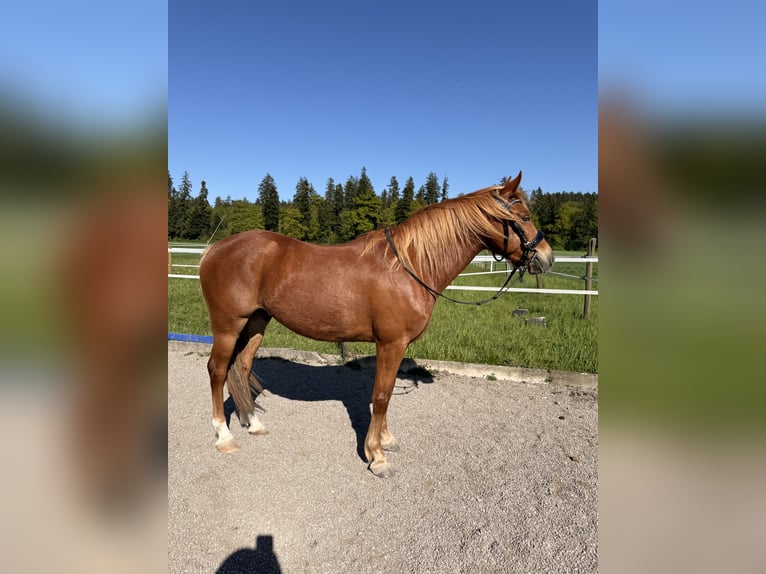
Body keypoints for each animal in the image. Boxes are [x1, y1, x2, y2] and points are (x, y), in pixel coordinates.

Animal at [199, 172, 554, 477]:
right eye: (523, 217)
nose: (547, 257)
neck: (408, 266)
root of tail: (214, 249)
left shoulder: (398, 346)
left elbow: (387, 393)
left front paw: (385, 441)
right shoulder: (391, 344)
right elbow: (381, 396)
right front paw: (376, 456)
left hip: (256, 322)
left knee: (241, 367)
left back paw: (253, 423)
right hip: (228, 326)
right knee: (217, 370)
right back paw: (224, 436)